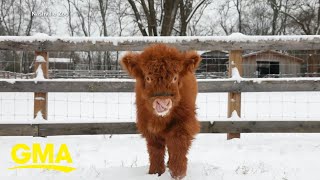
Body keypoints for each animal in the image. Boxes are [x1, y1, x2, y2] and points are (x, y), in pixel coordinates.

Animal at [121, 44, 201, 180]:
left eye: (175, 77)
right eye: (148, 78)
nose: (162, 103)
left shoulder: (183, 123)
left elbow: (178, 146)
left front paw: (178, 173)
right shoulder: (148, 126)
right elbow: (155, 150)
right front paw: (155, 172)